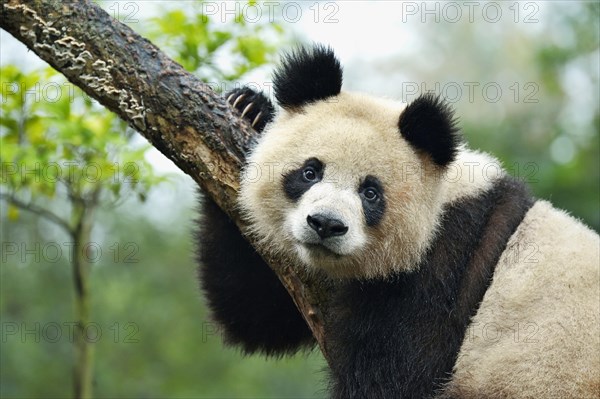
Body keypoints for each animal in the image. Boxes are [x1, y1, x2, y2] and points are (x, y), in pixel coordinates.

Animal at [195, 44, 596, 399]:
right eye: (310, 172)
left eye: (371, 193)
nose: (325, 225)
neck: (443, 199)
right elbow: (256, 311)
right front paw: (249, 107)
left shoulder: (446, 270)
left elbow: (396, 378)